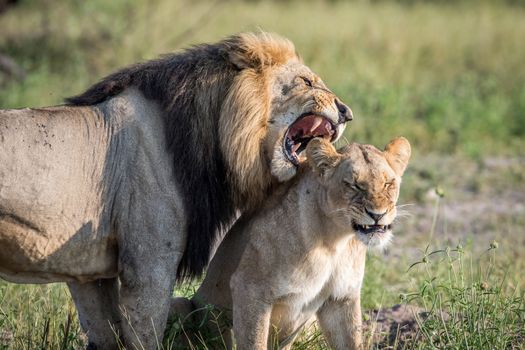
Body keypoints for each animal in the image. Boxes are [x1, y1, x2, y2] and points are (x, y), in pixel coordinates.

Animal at [1, 32, 352, 348]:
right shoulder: (148, 264)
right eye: (306, 82)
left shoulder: (89, 272)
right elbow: (145, 335)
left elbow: (106, 334)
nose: (346, 111)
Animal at [170, 137, 412, 350]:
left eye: (388, 183)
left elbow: (352, 342)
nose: (377, 215)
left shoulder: (341, 298)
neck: (335, 241)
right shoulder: (249, 288)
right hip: (180, 304)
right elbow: (254, 342)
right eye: (354, 185)